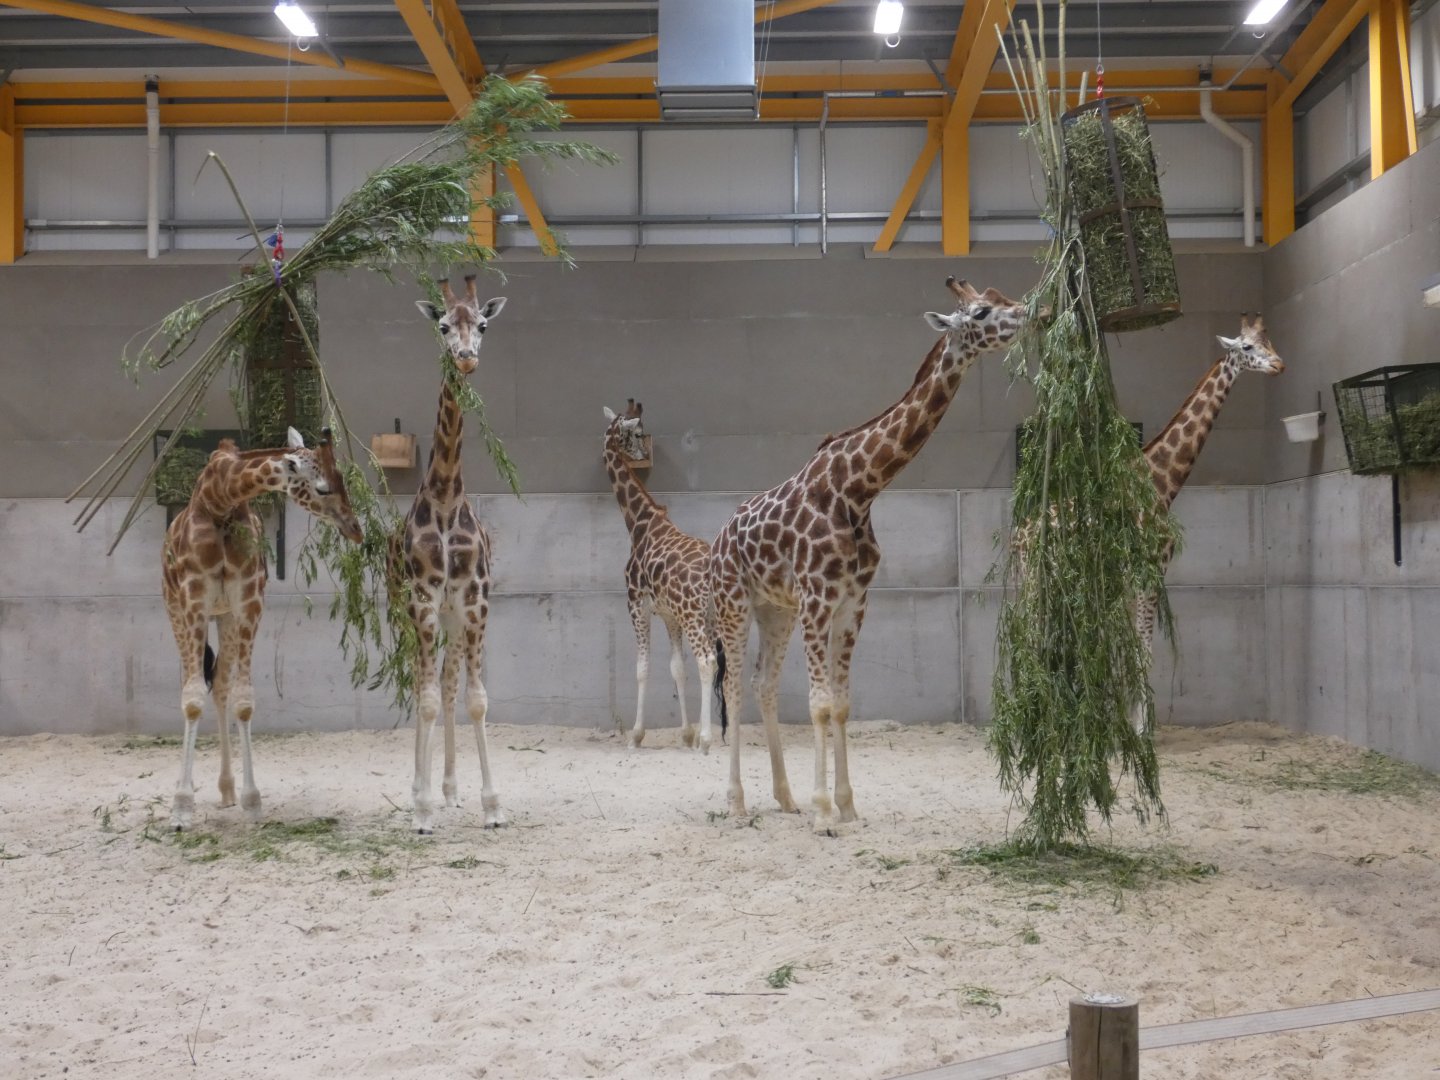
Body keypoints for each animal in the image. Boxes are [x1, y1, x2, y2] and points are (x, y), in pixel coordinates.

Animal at [164, 427, 363, 830]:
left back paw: (226, 790)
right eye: (322, 488)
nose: (356, 529)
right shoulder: (193, 602)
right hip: (176, 610)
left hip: (224, 616)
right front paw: (180, 808)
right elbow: (191, 700)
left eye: (344, 480)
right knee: (196, 684)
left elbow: (242, 701)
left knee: (220, 685)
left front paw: (252, 802)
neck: (221, 500)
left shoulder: (248, 603)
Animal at [602, 401, 718, 752]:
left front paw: (637, 736)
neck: (639, 524)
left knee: (707, 661)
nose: (641, 454)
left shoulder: (636, 605)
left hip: (695, 617)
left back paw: (707, 740)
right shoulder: (669, 615)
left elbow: (643, 669)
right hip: (711, 616)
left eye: (640, 432)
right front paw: (686, 733)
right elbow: (677, 669)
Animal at [709, 276, 1029, 832]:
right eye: (982, 312)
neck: (860, 489)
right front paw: (823, 813)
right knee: (732, 688)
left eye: (1003, 297)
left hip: (775, 610)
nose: (1036, 311)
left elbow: (840, 704)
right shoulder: (818, 598)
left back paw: (784, 797)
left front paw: (846, 805)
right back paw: (737, 803)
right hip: (735, 603)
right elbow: (818, 703)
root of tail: (721, 538)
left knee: (763, 684)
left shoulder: (853, 602)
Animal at [1127, 311, 1285, 730]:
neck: (1162, 485)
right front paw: (1142, 729)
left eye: (1270, 342)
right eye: (1246, 346)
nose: (1279, 365)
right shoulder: (1152, 567)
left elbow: (1134, 645)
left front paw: (1130, 725)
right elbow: (1144, 647)